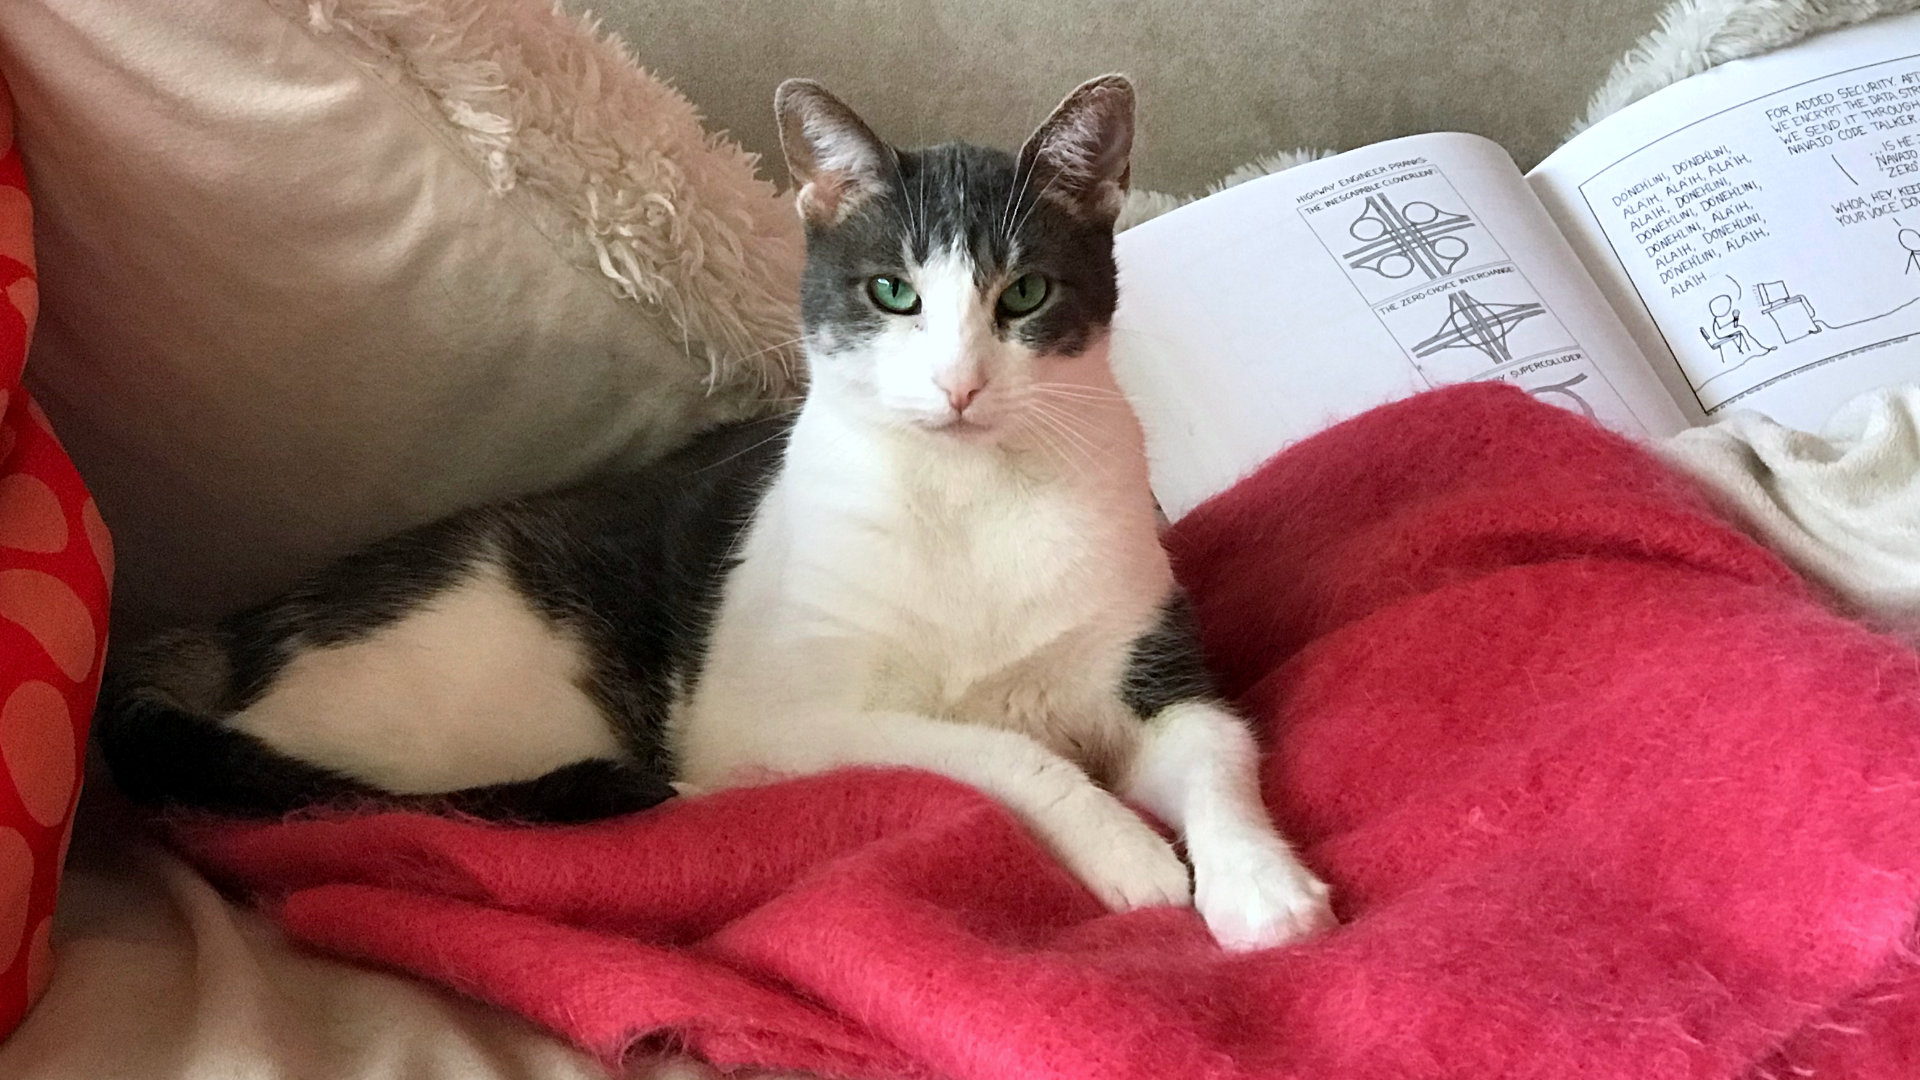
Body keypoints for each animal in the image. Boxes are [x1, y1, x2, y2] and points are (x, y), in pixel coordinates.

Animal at [97, 75, 1336, 945]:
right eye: (893, 292)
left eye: (1024, 293)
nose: (958, 386)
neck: (972, 494)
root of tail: (233, 633)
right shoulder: (782, 716)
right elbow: (994, 750)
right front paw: (1124, 851)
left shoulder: (1151, 664)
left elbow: (1218, 751)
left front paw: (1262, 885)